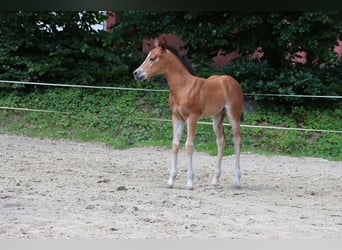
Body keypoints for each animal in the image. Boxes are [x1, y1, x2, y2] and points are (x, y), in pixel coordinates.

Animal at [132, 37, 242, 189]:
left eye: (153, 58)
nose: (136, 73)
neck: (183, 87)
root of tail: (232, 81)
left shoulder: (192, 118)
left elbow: (189, 146)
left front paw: (189, 182)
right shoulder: (176, 118)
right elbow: (175, 145)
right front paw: (171, 181)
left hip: (233, 115)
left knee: (237, 141)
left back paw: (237, 180)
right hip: (217, 117)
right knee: (221, 141)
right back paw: (215, 179)